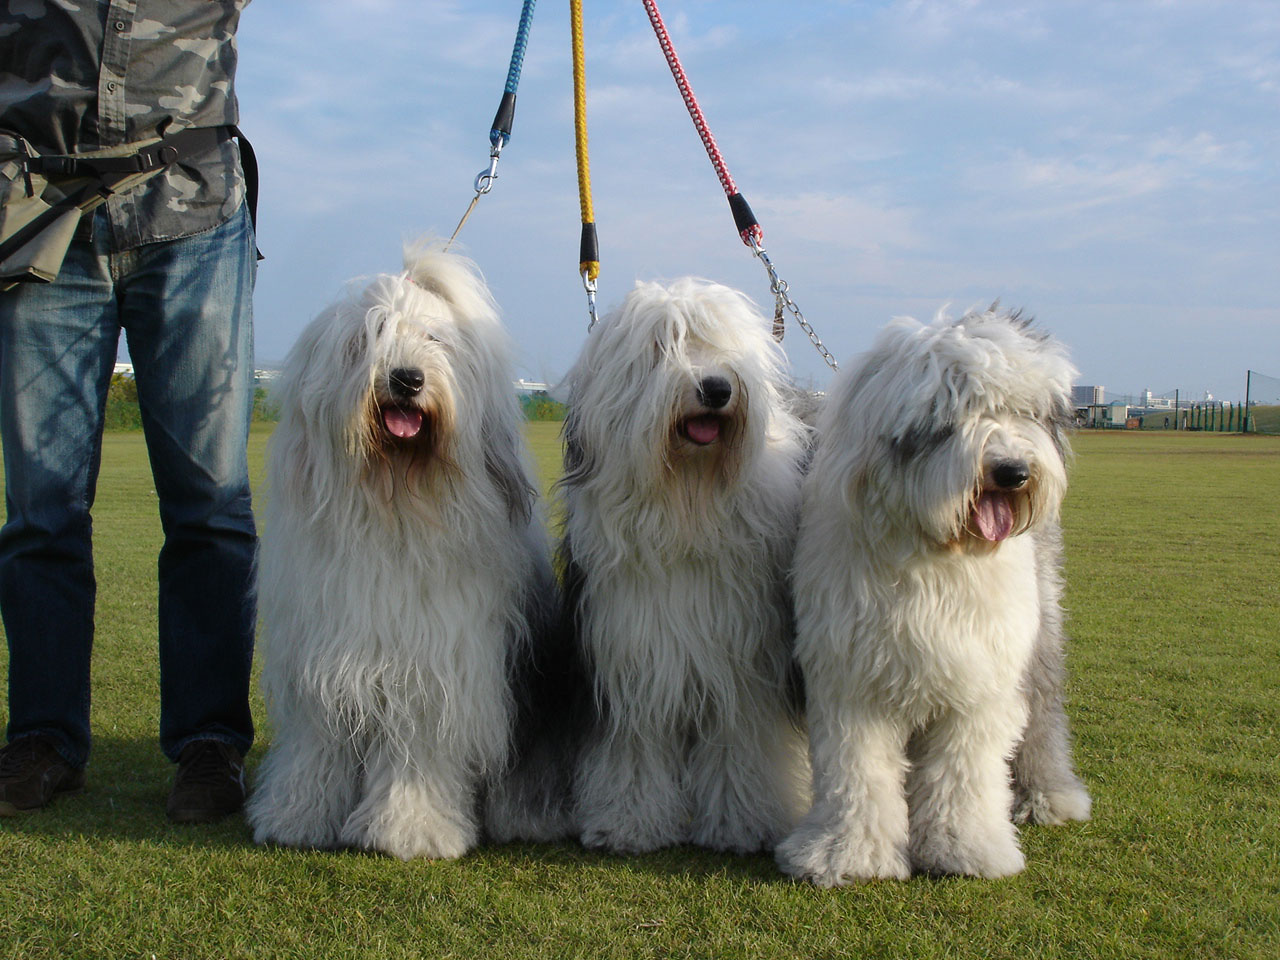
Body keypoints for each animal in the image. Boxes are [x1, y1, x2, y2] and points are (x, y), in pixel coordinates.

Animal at [244, 244, 560, 860]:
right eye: (371, 336)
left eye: (435, 339)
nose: (407, 378)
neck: (395, 506)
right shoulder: (322, 654)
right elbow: (317, 744)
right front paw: (297, 816)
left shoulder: (436, 664)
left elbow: (419, 747)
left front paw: (410, 829)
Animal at [563, 277, 808, 855]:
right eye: (661, 348)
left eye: (722, 346)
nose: (716, 388)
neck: (687, 508)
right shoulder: (629, 653)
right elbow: (633, 746)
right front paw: (628, 822)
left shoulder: (745, 664)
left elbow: (740, 743)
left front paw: (742, 823)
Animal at [773, 309, 1095, 885]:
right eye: (951, 414)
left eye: (1023, 412)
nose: (1012, 471)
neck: (936, 553)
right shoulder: (852, 680)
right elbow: (857, 771)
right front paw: (848, 854)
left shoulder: (979, 682)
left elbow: (964, 773)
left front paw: (965, 848)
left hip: (1037, 632)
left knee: (1041, 714)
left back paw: (1047, 797)